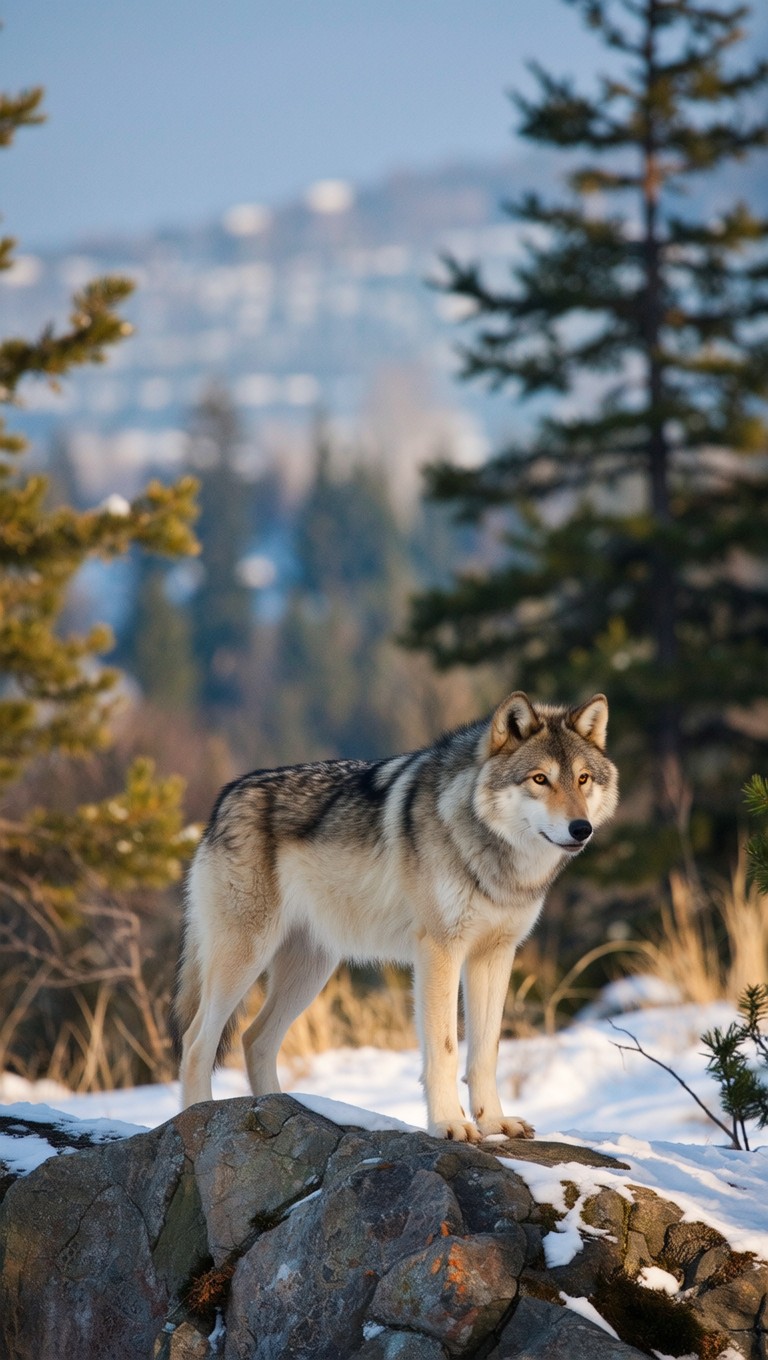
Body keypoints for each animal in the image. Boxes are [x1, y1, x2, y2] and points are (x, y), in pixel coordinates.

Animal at [173, 691, 618, 1141]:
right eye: (540, 779)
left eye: (583, 779)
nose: (581, 829)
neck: (494, 855)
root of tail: (226, 797)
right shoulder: (439, 951)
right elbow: (445, 1049)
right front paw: (449, 1124)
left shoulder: (495, 954)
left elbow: (486, 1050)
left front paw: (494, 1122)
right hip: (245, 958)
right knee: (196, 1043)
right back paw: (197, 1118)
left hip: (310, 970)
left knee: (254, 1039)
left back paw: (280, 1108)